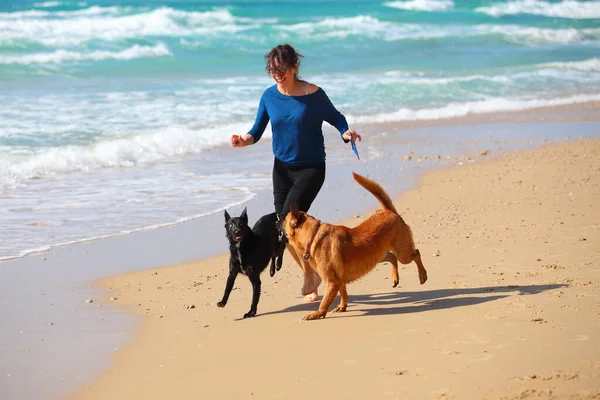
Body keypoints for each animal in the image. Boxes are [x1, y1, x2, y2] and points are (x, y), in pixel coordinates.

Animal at [282, 173, 426, 322]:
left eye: (284, 220)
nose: (276, 221)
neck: (314, 235)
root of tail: (389, 211)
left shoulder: (333, 282)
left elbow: (324, 302)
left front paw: (317, 314)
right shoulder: (340, 280)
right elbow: (343, 293)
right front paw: (342, 306)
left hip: (403, 254)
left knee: (416, 253)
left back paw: (422, 275)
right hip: (377, 256)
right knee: (392, 257)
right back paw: (395, 278)